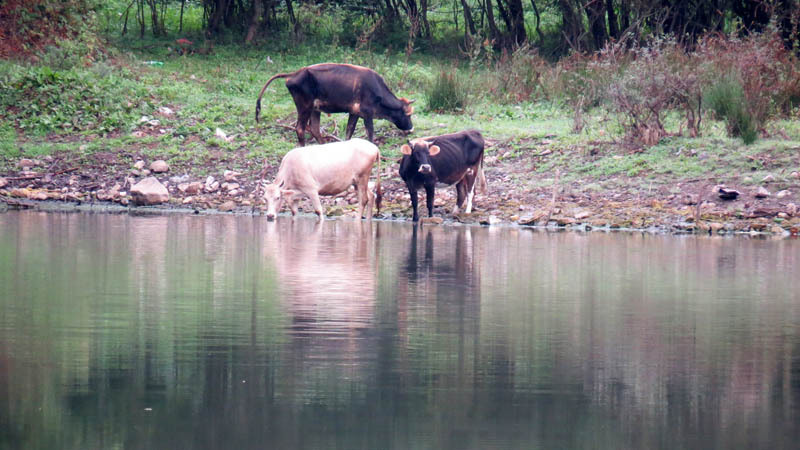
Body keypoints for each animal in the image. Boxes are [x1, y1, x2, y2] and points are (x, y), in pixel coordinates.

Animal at [256, 62, 416, 144]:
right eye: (407, 114)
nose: (410, 128)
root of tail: (295, 73)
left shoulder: (354, 113)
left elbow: (349, 131)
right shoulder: (367, 113)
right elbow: (370, 133)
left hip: (314, 109)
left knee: (314, 129)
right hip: (304, 107)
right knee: (300, 128)